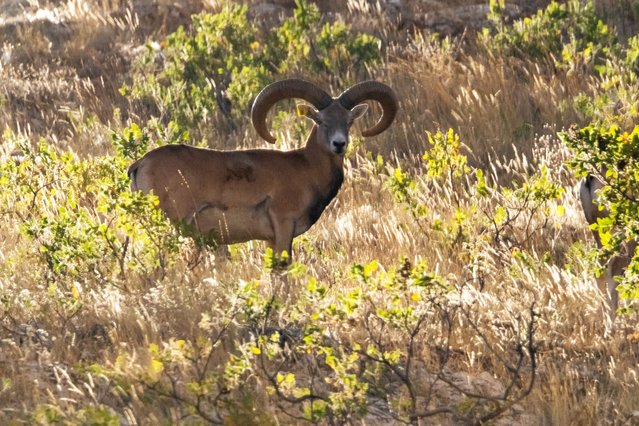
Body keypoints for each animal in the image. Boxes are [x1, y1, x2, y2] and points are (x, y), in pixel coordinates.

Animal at [127, 79, 398, 260]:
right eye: (320, 120)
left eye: (349, 121)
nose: (339, 144)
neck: (306, 169)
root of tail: (140, 165)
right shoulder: (283, 225)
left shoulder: (270, 239)